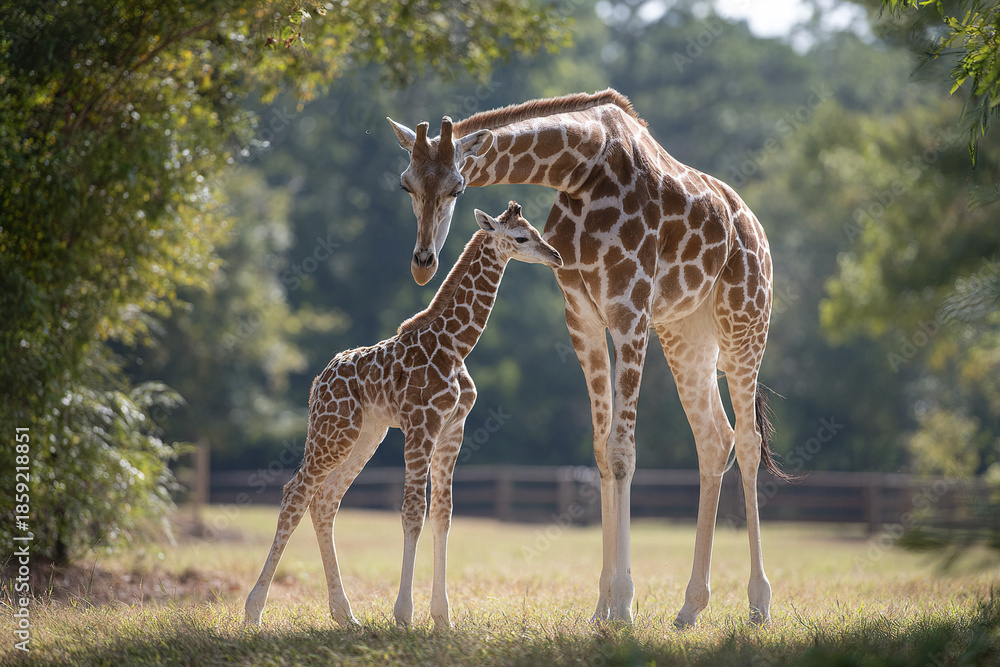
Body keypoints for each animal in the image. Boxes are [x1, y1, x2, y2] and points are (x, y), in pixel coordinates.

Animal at [244, 201, 563, 629]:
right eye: (521, 237)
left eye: (537, 231)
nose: (556, 256)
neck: (455, 346)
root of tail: (317, 382)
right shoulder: (421, 422)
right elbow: (413, 510)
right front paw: (404, 615)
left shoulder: (453, 428)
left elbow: (443, 512)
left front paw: (442, 617)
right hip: (333, 429)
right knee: (296, 492)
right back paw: (254, 610)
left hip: (366, 434)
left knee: (325, 500)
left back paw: (345, 615)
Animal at [386, 89, 787, 627]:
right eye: (406, 183)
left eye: (457, 187)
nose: (423, 264)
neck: (579, 169)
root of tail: (756, 227)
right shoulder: (581, 315)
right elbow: (600, 450)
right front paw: (602, 608)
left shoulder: (629, 308)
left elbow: (623, 450)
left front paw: (623, 603)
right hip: (687, 334)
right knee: (713, 438)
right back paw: (690, 606)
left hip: (746, 324)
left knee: (746, 440)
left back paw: (759, 602)